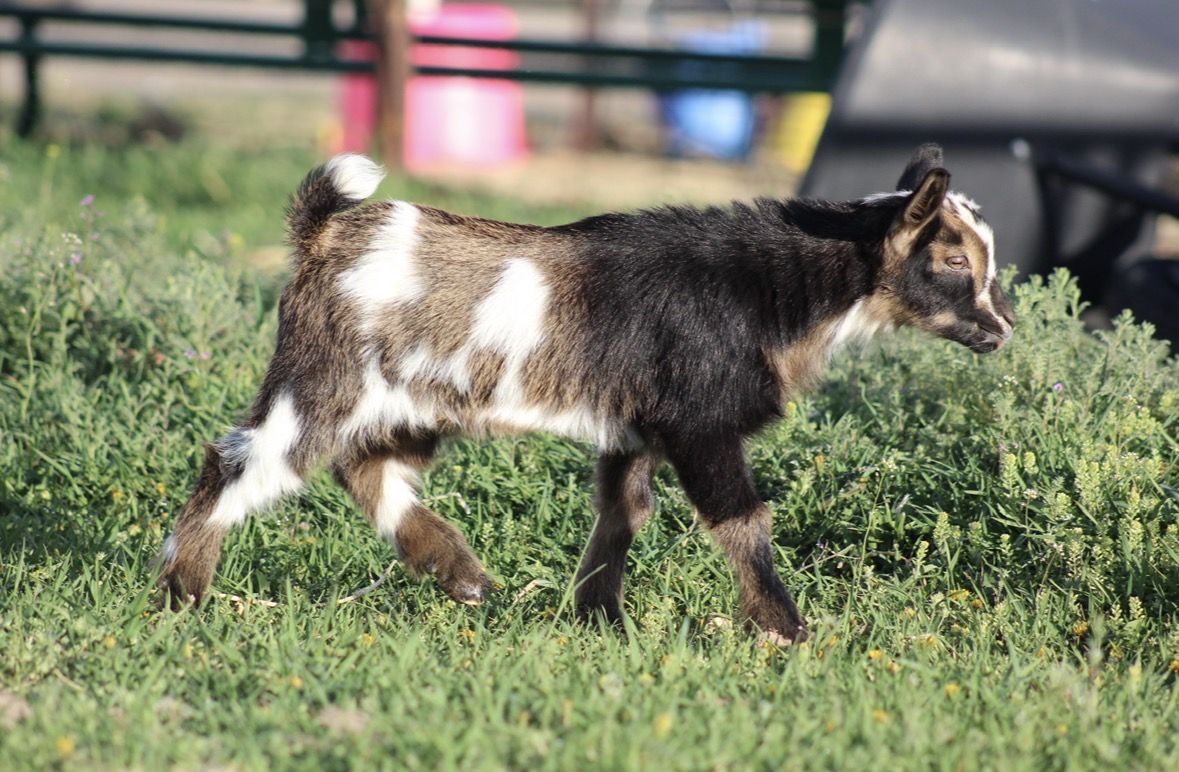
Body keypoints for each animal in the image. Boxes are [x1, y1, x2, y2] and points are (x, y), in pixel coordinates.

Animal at [158, 143, 1014, 642]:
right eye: (952, 262)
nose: (1002, 328)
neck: (771, 289)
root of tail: (325, 235)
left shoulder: (636, 428)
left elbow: (622, 511)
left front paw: (598, 618)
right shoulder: (698, 421)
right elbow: (742, 520)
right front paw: (785, 631)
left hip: (411, 400)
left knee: (362, 468)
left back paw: (459, 572)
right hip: (324, 382)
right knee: (240, 460)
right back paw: (183, 594)